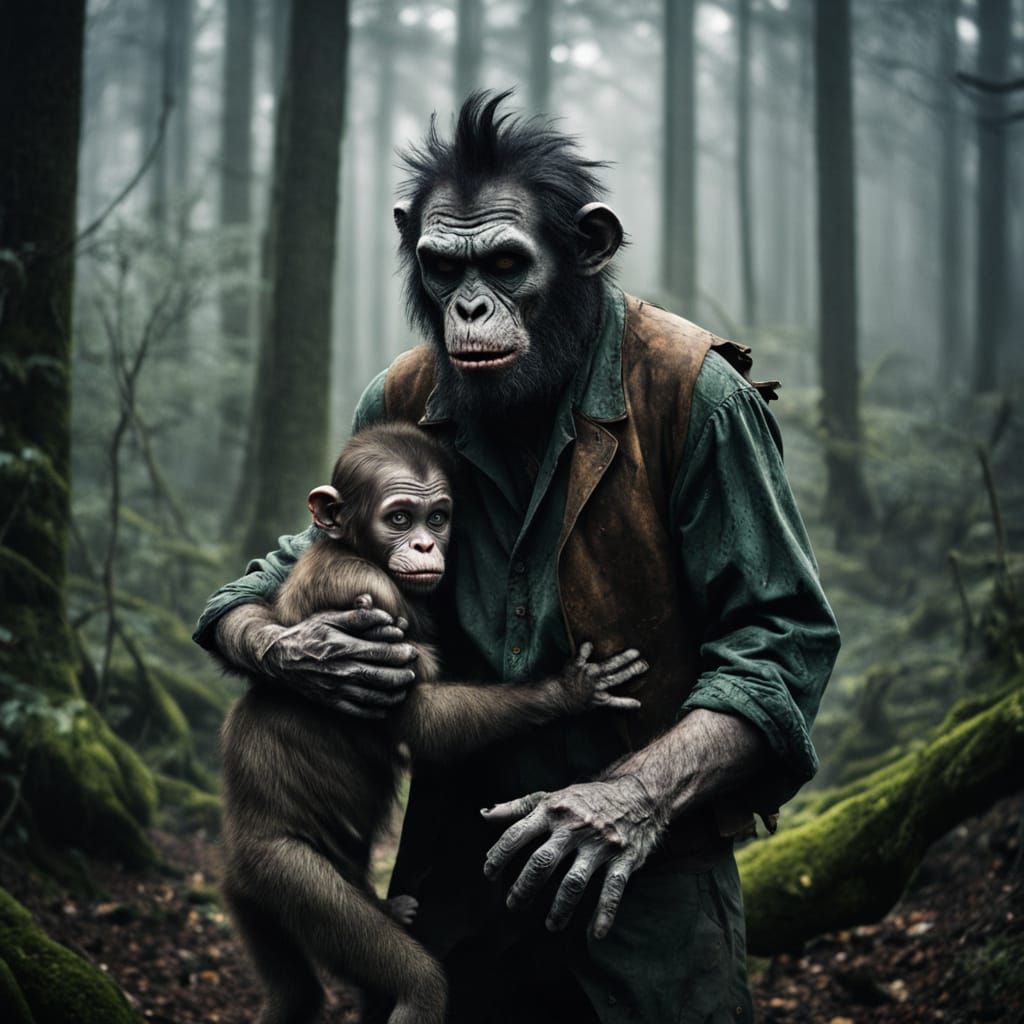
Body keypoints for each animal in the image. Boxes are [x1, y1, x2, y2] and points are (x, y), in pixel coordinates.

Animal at [217, 422, 648, 1024]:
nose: (424, 545)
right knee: (414, 981)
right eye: (400, 518)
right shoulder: (370, 599)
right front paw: (570, 690)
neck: (352, 549)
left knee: (293, 995)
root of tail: (235, 862)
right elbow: (422, 720)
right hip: (288, 878)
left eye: (437, 518)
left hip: (249, 907)